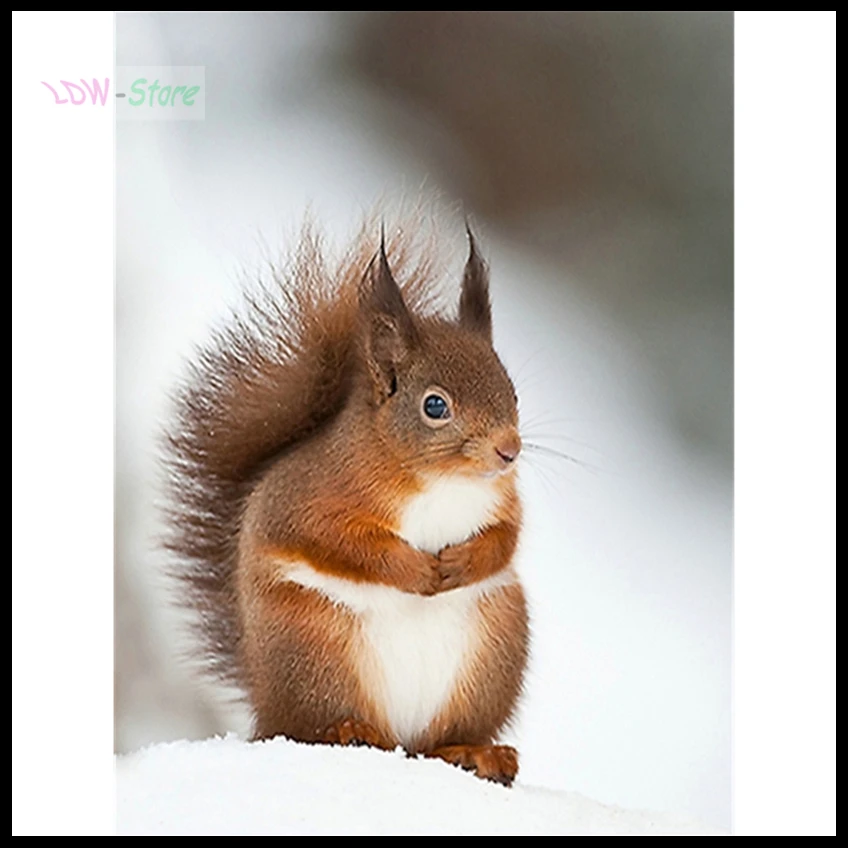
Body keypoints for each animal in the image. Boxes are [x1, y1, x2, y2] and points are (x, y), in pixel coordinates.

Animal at [164, 215, 529, 786]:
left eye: (511, 391)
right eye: (435, 406)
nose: (509, 450)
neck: (439, 480)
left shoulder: (503, 501)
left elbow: (505, 540)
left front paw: (462, 562)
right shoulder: (312, 500)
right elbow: (341, 543)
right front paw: (416, 570)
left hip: (494, 653)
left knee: (437, 743)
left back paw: (475, 753)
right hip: (316, 655)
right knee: (310, 727)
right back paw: (351, 731)